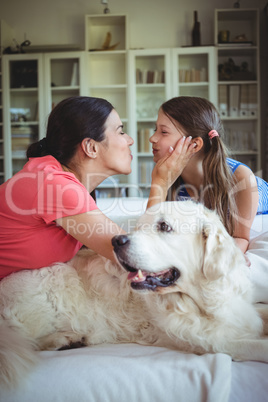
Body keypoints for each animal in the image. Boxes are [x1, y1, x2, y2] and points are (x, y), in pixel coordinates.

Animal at [0, 201, 268, 386]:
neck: (201, 301)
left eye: (164, 227)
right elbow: (257, 346)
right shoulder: (212, 341)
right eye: (138, 227)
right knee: (25, 343)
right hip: (54, 280)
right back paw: (63, 340)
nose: (116, 240)